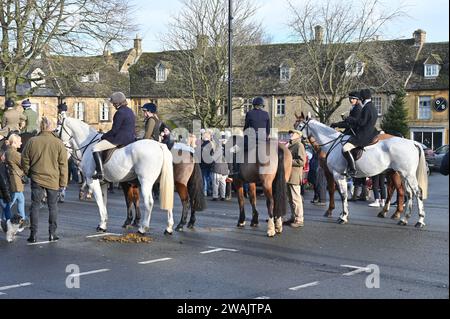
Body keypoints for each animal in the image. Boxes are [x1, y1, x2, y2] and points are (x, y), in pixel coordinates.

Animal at [296, 112, 428, 228]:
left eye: (299, 126)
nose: (293, 139)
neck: (332, 144)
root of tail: (412, 143)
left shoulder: (336, 174)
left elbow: (341, 194)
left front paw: (342, 216)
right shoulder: (339, 175)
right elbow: (342, 193)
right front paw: (342, 213)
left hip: (407, 174)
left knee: (416, 192)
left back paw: (419, 221)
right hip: (401, 174)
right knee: (407, 193)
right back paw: (403, 219)